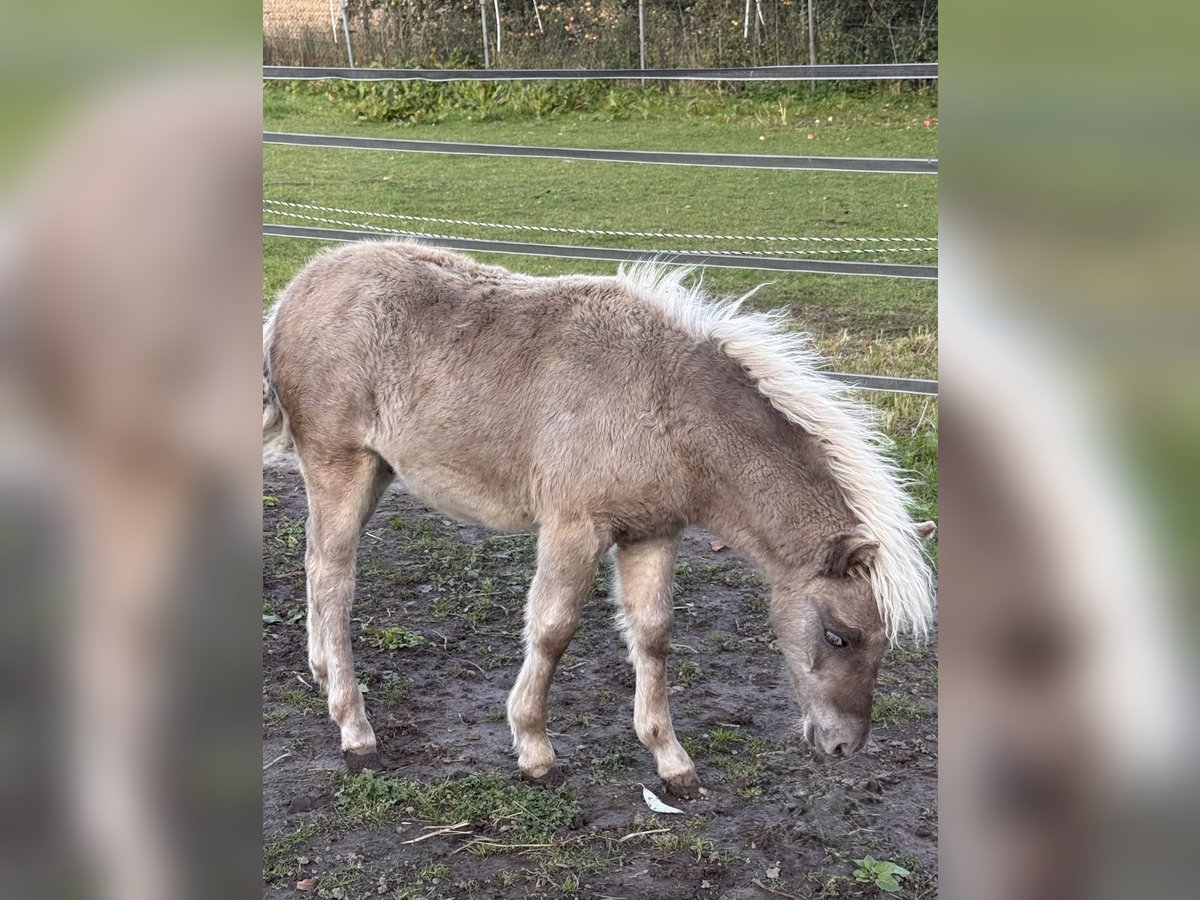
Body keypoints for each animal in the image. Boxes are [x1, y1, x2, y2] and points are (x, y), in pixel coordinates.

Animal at [263, 241, 935, 797]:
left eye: (886, 641)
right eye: (838, 635)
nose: (844, 745)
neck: (668, 404)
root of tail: (296, 290)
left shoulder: (652, 534)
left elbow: (653, 635)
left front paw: (671, 761)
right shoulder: (575, 528)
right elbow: (553, 630)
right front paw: (535, 750)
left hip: (373, 474)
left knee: (316, 568)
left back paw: (321, 676)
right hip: (339, 467)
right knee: (335, 581)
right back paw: (355, 730)